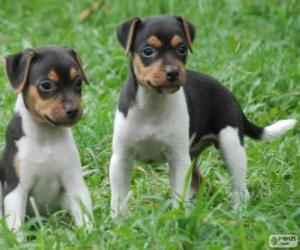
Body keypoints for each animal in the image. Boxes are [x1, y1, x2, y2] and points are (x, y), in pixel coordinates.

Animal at [0, 45, 92, 232]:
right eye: (46, 85)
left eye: (78, 82)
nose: (74, 110)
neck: (46, 136)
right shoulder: (16, 190)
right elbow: (16, 227)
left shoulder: (75, 183)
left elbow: (84, 216)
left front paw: (89, 234)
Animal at [109, 15, 296, 217]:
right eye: (148, 51)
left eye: (182, 49)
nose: (173, 73)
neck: (154, 103)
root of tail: (229, 93)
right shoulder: (120, 158)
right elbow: (118, 197)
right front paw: (119, 221)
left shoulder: (178, 159)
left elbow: (179, 195)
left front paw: (177, 218)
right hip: (193, 157)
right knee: (199, 181)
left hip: (231, 146)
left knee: (239, 187)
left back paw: (237, 213)